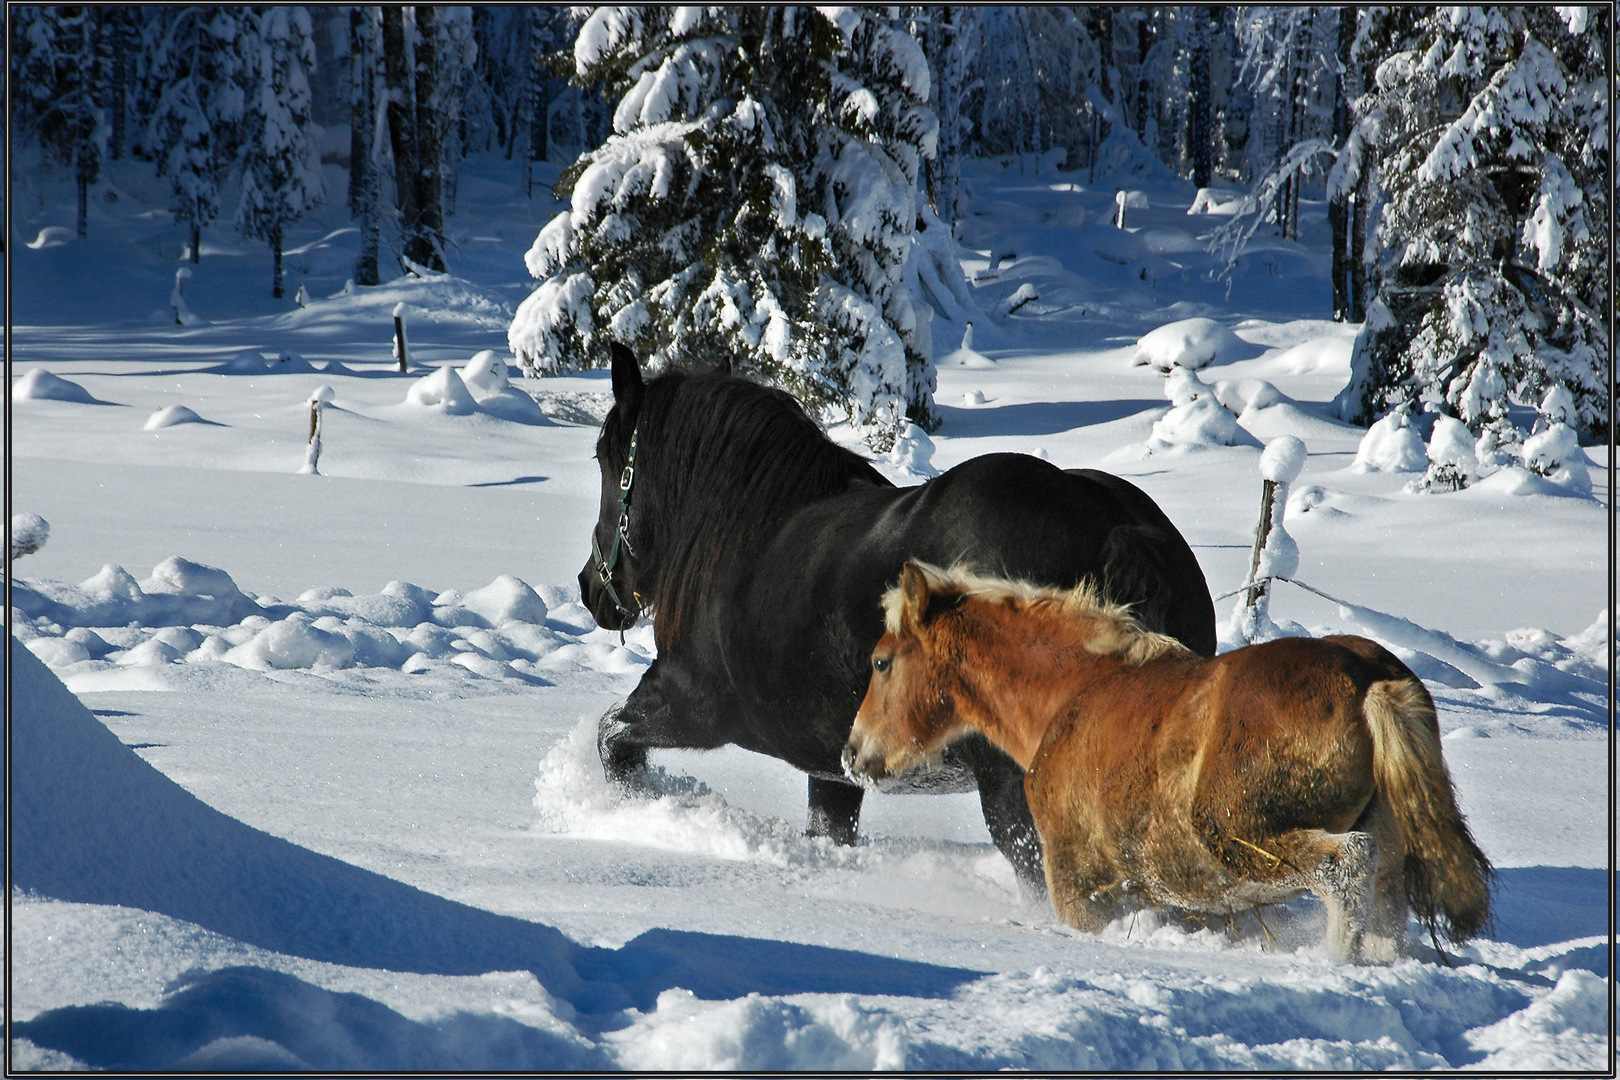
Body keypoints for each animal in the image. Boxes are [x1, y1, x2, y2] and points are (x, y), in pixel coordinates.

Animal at [583, 341, 1218, 893]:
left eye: (605, 458)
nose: (592, 590)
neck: (744, 528)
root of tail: (1114, 527)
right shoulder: (832, 768)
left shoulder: (691, 702)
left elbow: (613, 737)